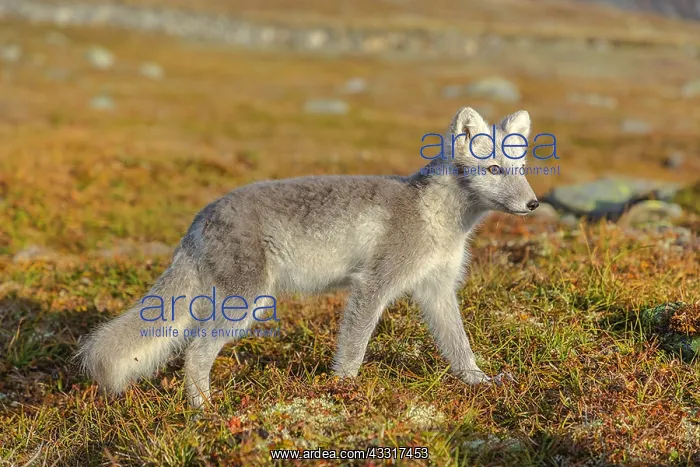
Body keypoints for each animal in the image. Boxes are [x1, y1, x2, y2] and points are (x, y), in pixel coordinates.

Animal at [76, 107, 539, 409]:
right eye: (493, 170)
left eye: (520, 169)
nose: (534, 204)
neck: (440, 218)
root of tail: (200, 217)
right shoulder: (373, 284)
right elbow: (353, 349)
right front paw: (343, 393)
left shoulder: (437, 290)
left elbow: (459, 346)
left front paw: (481, 382)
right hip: (247, 302)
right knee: (195, 352)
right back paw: (206, 412)